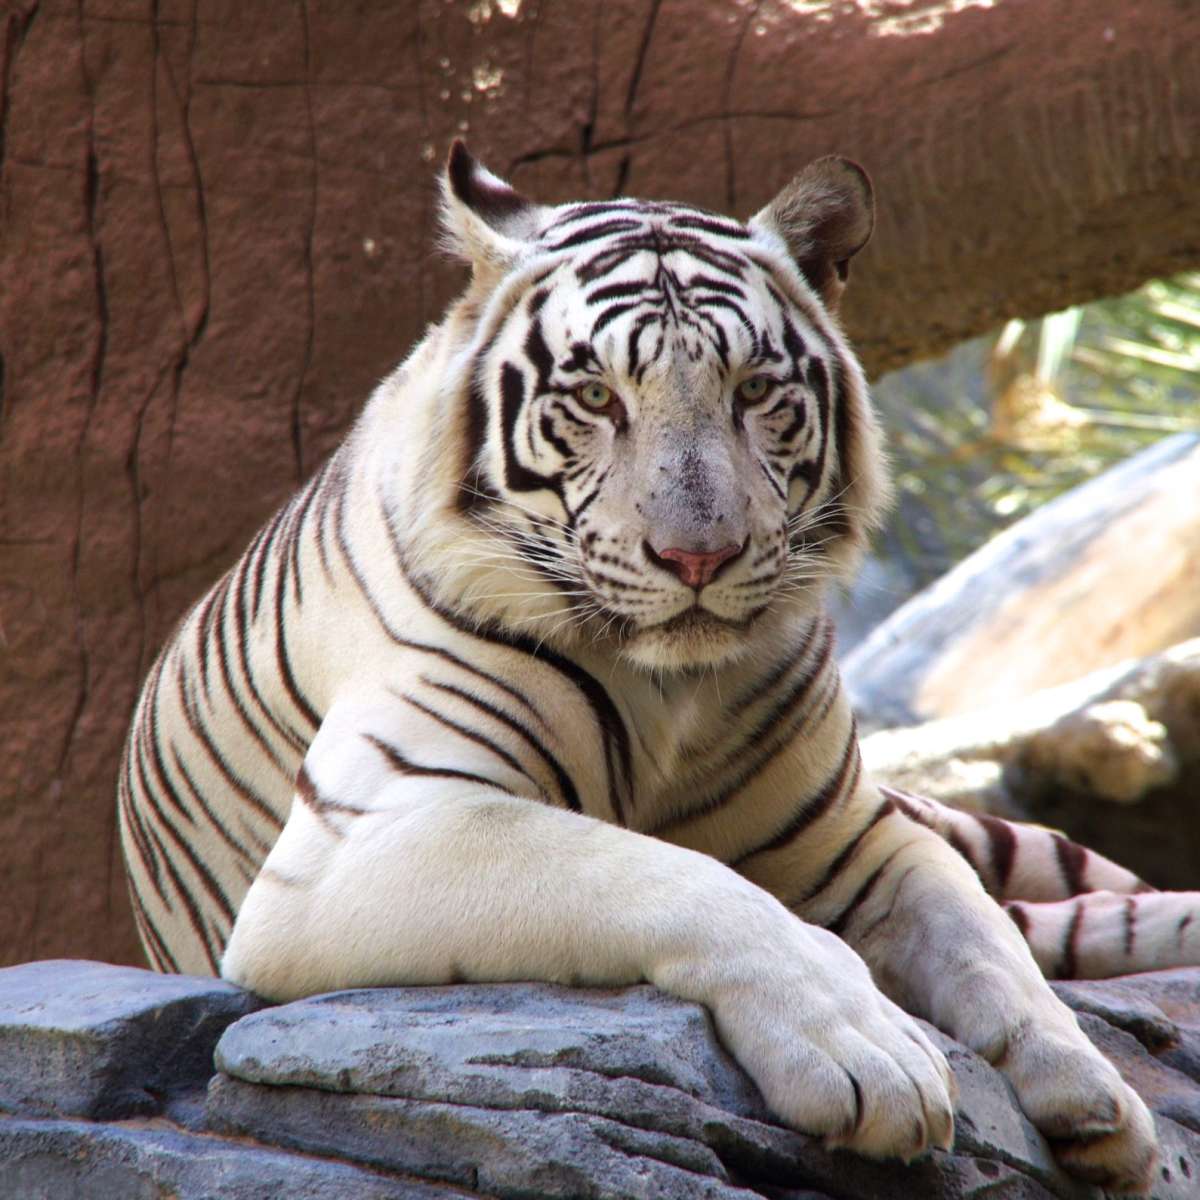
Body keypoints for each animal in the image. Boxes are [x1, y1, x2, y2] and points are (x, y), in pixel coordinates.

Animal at [114, 142, 1200, 1190]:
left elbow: (982, 938)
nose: (697, 558)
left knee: (1051, 897)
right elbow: (678, 877)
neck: (674, 690)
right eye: (597, 397)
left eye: (753, 391)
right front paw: (874, 1057)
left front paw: (1094, 1094)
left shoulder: (856, 835)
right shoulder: (368, 837)